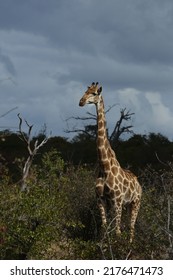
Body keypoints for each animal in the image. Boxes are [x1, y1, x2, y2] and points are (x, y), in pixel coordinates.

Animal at [79, 82, 142, 242]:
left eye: (94, 93)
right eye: (85, 91)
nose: (81, 102)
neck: (104, 166)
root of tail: (139, 184)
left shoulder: (116, 200)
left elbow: (117, 231)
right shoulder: (101, 200)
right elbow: (104, 227)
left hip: (135, 202)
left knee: (131, 229)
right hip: (126, 205)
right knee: (127, 228)